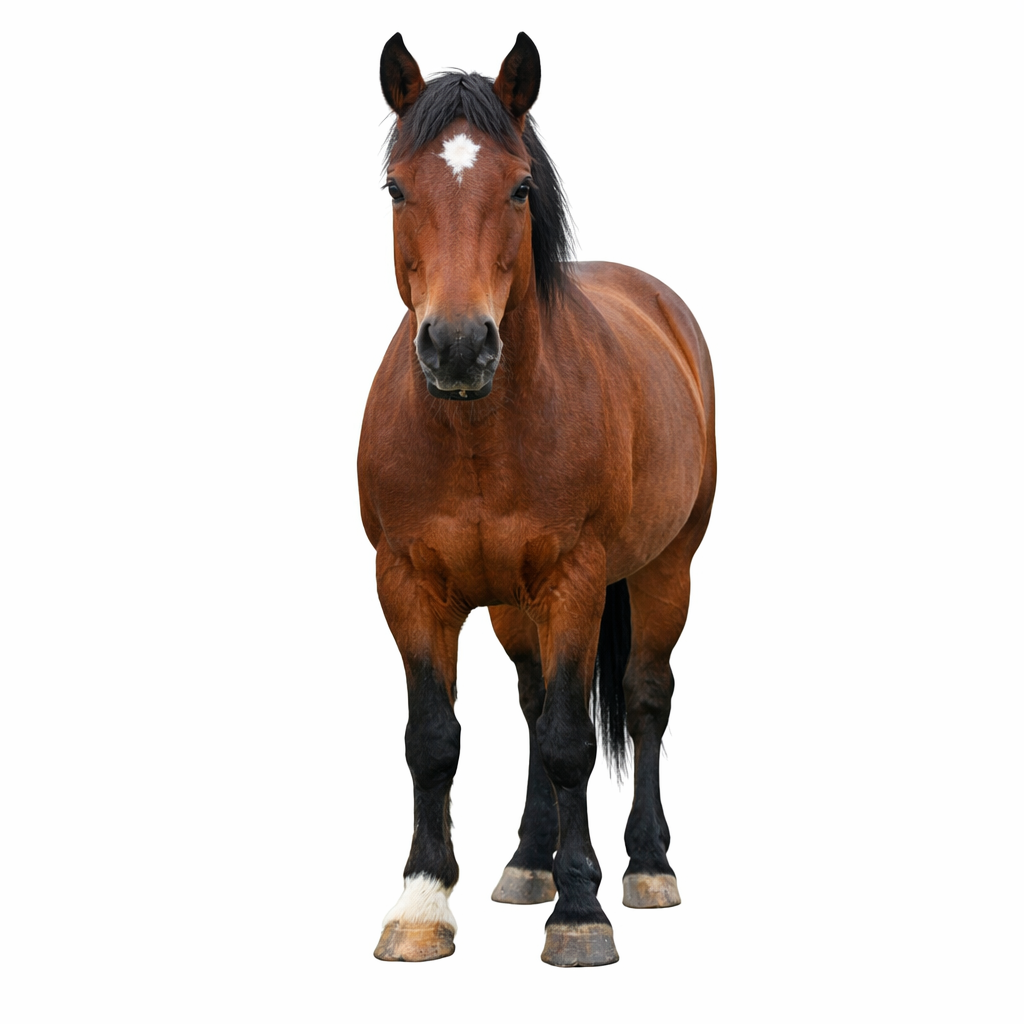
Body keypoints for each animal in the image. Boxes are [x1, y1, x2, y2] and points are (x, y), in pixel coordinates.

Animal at [358, 32, 716, 967]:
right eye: (396, 187)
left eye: (519, 186)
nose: (457, 347)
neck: (478, 434)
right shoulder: (409, 586)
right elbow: (433, 739)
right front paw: (422, 904)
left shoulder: (575, 583)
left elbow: (571, 739)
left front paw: (581, 911)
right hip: (511, 605)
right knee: (527, 705)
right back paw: (529, 861)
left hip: (666, 569)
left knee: (643, 697)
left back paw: (645, 865)